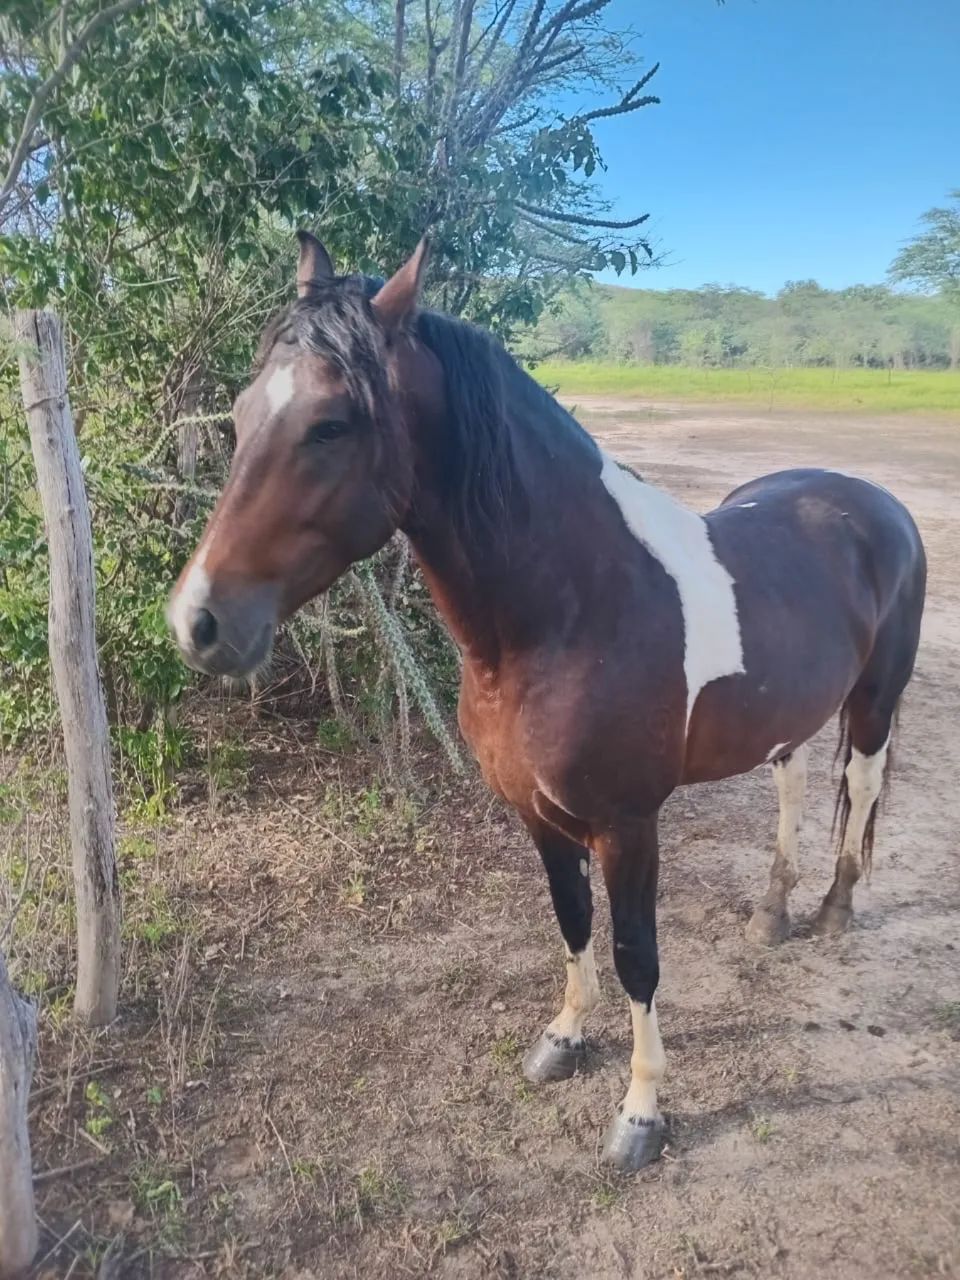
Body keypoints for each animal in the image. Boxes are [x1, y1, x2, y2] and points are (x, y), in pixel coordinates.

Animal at [168, 233, 926, 1171]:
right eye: (240, 414)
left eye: (331, 424)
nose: (197, 622)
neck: (571, 612)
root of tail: (871, 500)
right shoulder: (536, 813)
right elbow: (570, 921)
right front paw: (563, 1040)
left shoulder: (629, 825)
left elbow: (637, 955)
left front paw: (640, 1114)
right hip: (786, 712)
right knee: (792, 779)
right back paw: (772, 911)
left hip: (876, 699)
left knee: (861, 785)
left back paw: (833, 908)